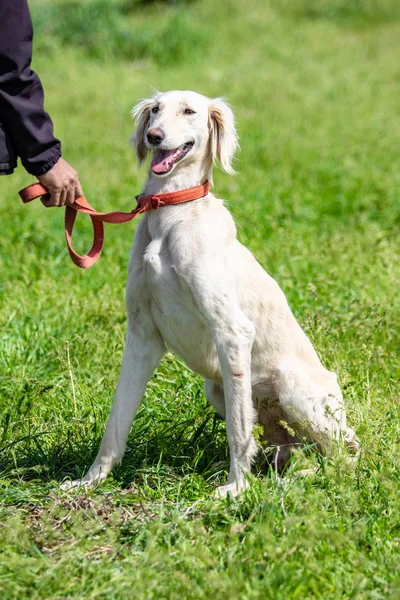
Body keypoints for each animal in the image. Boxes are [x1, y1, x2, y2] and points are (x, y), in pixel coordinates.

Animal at [63, 90, 360, 496]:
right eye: (155, 110)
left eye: (189, 111)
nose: (154, 136)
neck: (172, 213)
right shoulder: (142, 335)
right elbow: (116, 419)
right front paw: (91, 480)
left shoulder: (232, 331)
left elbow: (238, 429)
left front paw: (236, 489)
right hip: (217, 390)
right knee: (288, 449)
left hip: (290, 386)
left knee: (343, 458)